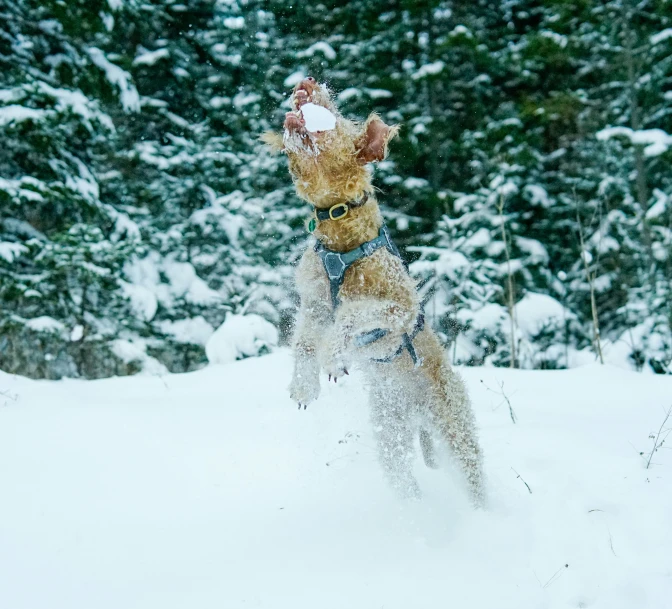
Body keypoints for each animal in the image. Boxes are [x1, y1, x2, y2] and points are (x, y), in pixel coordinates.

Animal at [262, 77, 484, 504]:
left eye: (338, 115)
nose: (306, 82)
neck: (341, 237)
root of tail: (416, 414)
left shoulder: (399, 307)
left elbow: (350, 313)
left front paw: (334, 358)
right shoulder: (314, 303)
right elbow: (304, 343)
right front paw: (304, 385)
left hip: (456, 433)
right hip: (390, 435)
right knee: (404, 479)